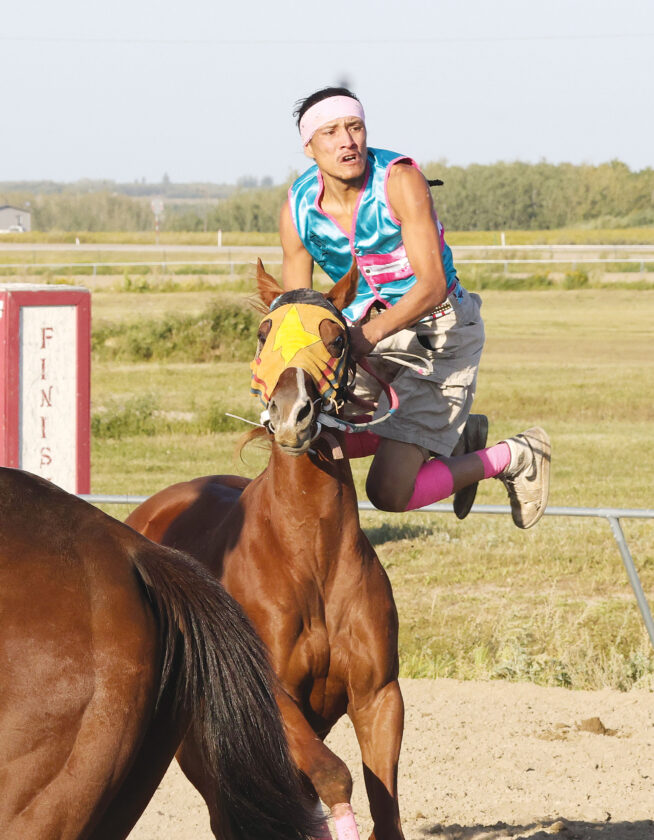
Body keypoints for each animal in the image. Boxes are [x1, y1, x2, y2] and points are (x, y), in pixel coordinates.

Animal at [126, 260, 405, 840]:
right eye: (263, 333)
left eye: (336, 338)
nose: (292, 413)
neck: (311, 555)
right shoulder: (272, 699)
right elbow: (331, 777)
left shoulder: (379, 696)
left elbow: (383, 806)